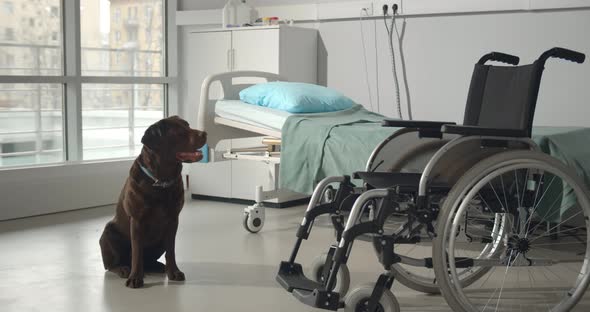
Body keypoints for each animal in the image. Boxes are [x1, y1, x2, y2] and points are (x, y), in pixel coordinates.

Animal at [99, 115, 206, 288]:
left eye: (188, 126)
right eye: (179, 132)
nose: (205, 133)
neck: (161, 181)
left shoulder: (173, 221)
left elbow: (171, 250)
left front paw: (173, 271)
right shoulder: (137, 221)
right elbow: (137, 252)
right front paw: (135, 277)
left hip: (159, 240)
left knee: (150, 260)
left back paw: (158, 267)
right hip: (108, 233)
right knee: (111, 265)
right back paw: (124, 269)